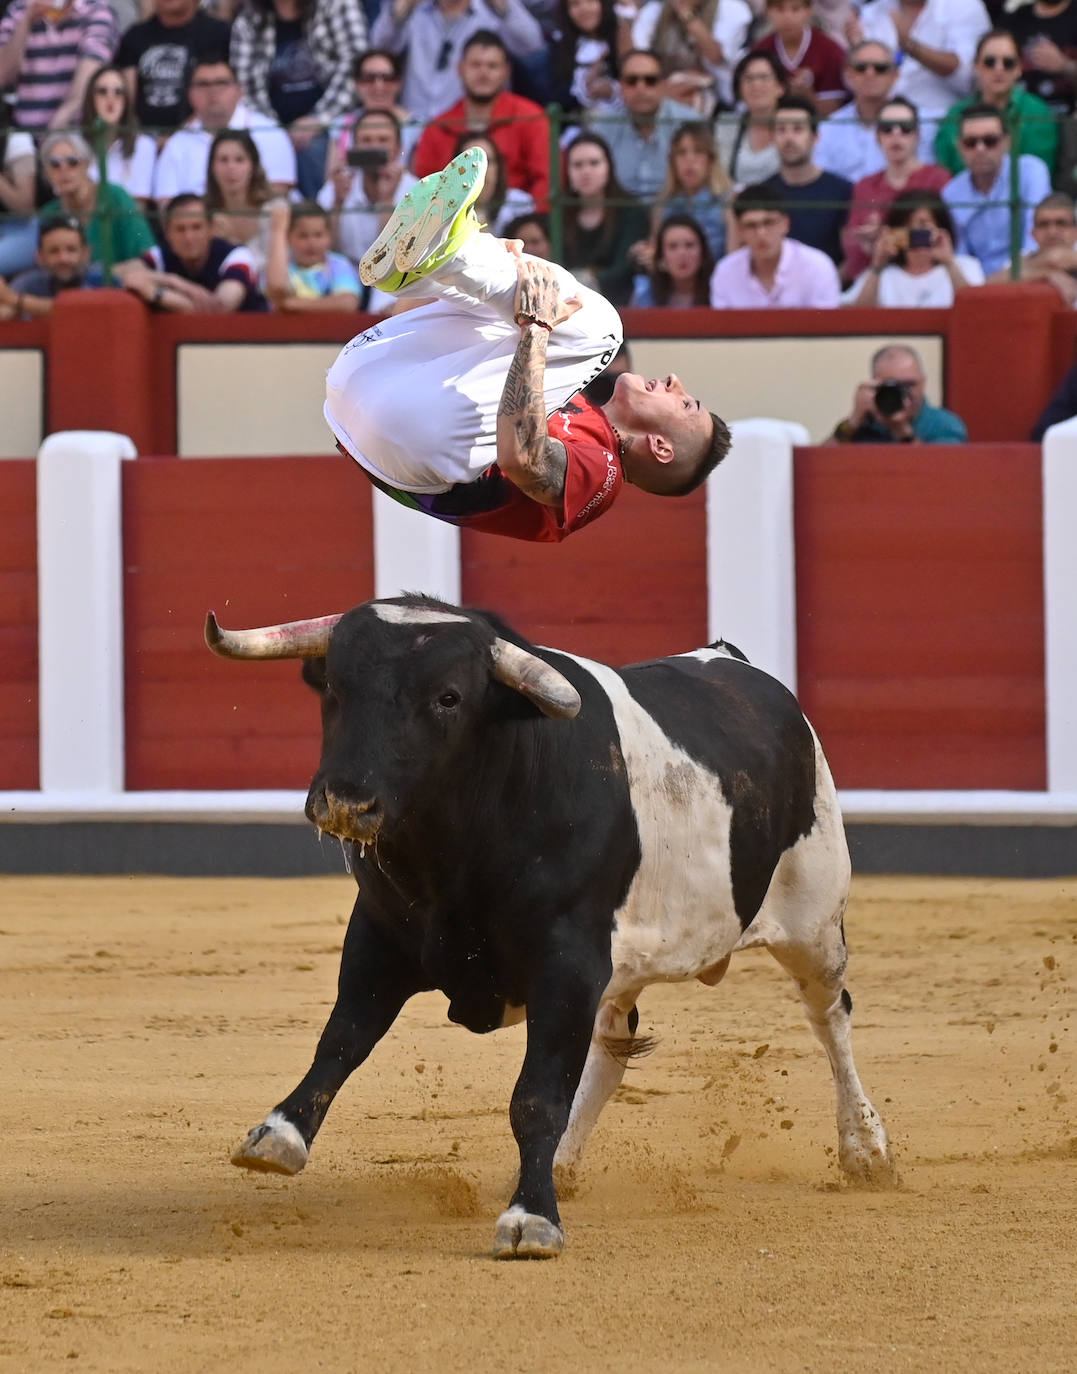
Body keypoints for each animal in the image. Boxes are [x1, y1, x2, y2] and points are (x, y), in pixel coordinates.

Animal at [206, 590, 895, 1258]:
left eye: (448, 697)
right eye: (334, 687)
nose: (347, 802)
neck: (457, 852)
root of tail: (733, 661)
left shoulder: (566, 963)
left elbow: (537, 1095)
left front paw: (530, 1218)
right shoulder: (379, 936)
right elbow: (343, 1039)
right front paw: (279, 1135)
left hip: (813, 923)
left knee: (830, 1017)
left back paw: (866, 1150)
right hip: (627, 964)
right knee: (613, 1046)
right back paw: (563, 1163)